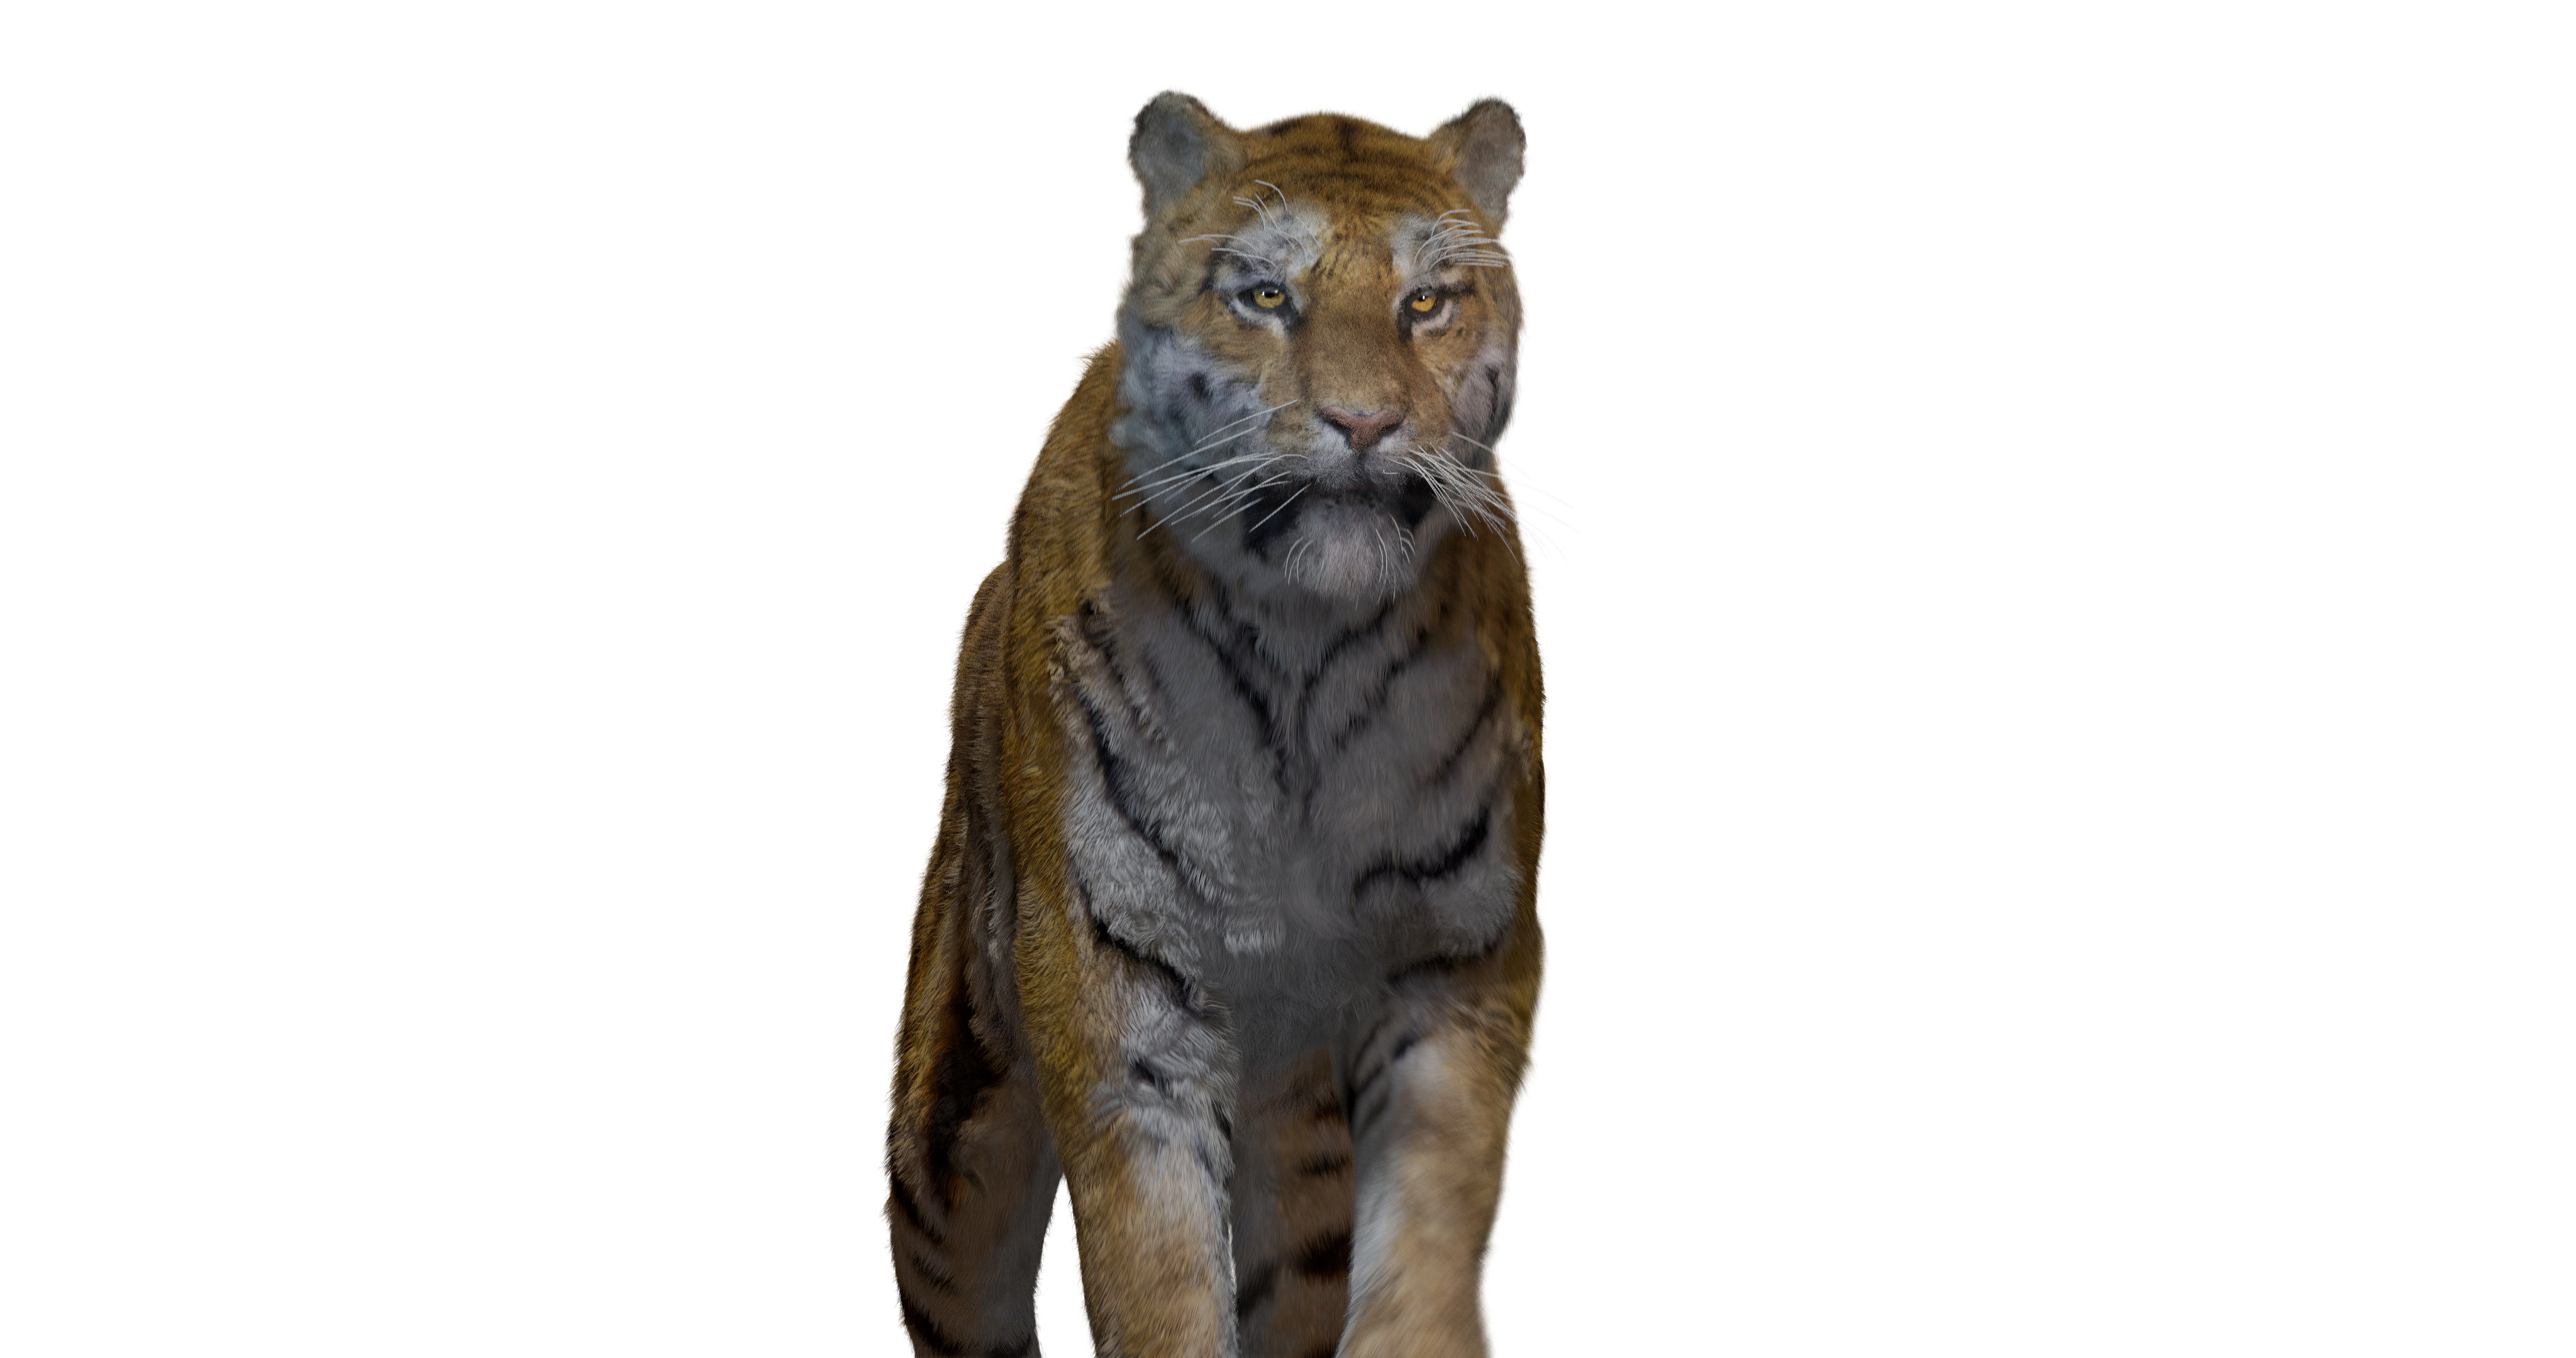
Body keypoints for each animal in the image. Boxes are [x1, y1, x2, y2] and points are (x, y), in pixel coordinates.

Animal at [886, 92, 1542, 1358]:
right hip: (955, 1119)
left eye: (1425, 302)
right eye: (1269, 296)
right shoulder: (1117, 981)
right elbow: (1160, 1275)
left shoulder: (1455, 962)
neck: (1304, 652)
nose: (1364, 422)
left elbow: (1428, 1245)